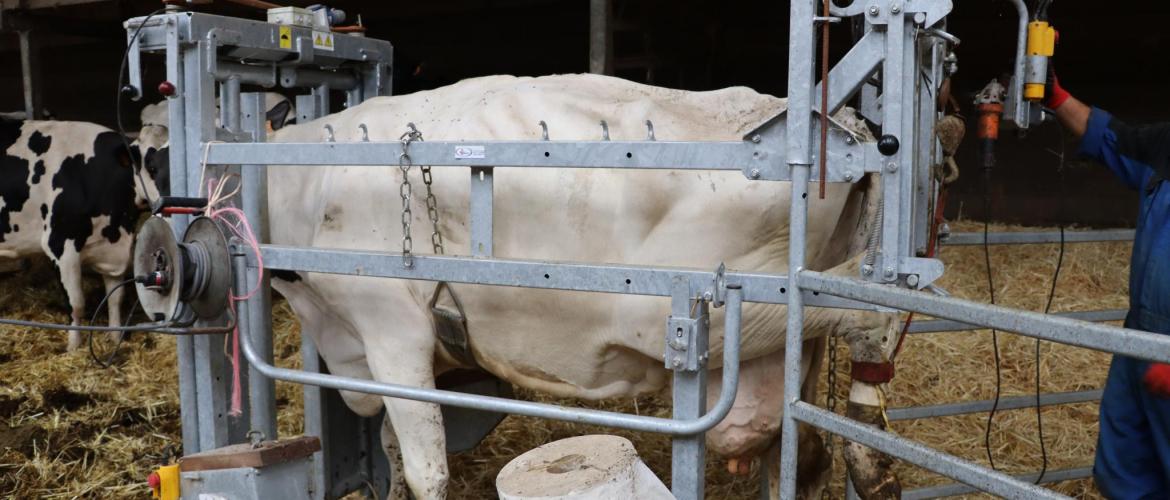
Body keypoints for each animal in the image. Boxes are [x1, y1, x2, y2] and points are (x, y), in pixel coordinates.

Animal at [0, 117, 162, 351]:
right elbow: (76, 304)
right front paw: (74, 347)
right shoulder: (60, 246)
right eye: (152, 166)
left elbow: (115, 298)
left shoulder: (113, 249)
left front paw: (115, 338)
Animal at [269, 75, 898, 500]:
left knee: (868, 312)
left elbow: (427, 470)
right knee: (807, 455)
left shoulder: (392, 333)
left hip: (708, 310)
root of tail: (845, 125)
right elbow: (392, 448)